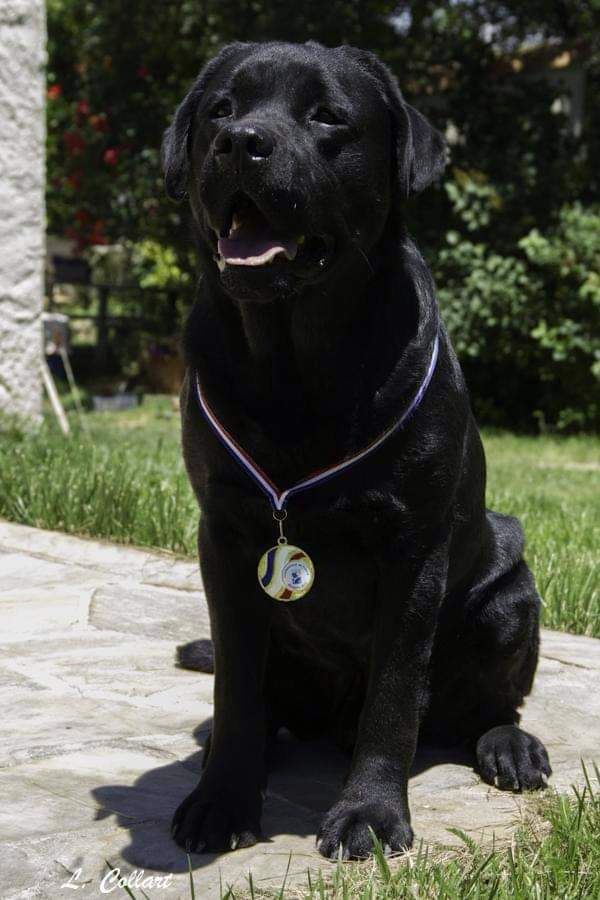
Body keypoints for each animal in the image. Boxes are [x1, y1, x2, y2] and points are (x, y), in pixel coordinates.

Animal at [162, 40, 552, 856]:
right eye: (220, 108)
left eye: (328, 116)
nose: (240, 141)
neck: (295, 363)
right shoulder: (225, 537)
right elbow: (236, 684)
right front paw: (221, 798)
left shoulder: (413, 550)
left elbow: (395, 695)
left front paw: (370, 813)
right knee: (263, 704)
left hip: (510, 594)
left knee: (486, 707)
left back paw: (508, 745)